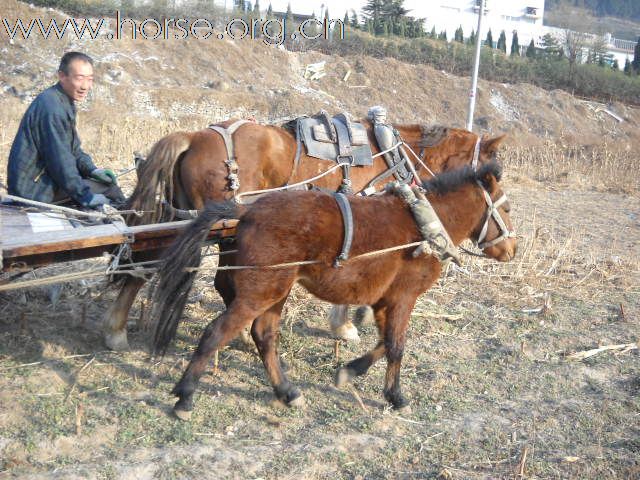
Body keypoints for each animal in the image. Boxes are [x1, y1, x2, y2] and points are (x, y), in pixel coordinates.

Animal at [105, 118, 504, 350]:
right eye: (495, 174)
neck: (391, 153)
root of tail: (193, 136)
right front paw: (346, 325)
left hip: (180, 219)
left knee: (142, 263)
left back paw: (117, 327)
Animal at [149, 162, 516, 420]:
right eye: (507, 209)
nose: (512, 250)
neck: (424, 224)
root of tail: (248, 210)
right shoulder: (404, 298)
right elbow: (396, 346)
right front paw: (396, 397)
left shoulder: (383, 301)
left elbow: (384, 343)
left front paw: (349, 371)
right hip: (260, 293)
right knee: (217, 333)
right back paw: (185, 395)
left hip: (275, 292)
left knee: (264, 336)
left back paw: (287, 392)